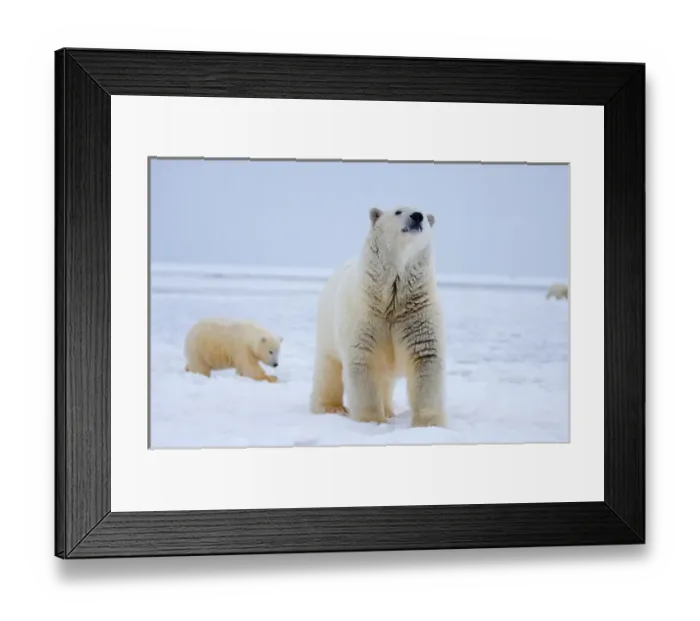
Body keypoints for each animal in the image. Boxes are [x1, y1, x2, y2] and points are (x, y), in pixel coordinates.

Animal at [309, 206, 447, 428]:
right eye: (398, 211)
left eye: (424, 215)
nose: (417, 216)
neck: (391, 297)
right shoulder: (364, 314)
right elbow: (364, 360)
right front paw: (371, 420)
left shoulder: (417, 310)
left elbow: (425, 357)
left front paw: (430, 423)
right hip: (326, 328)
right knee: (328, 369)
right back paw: (330, 407)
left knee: (386, 380)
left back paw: (389, 411)